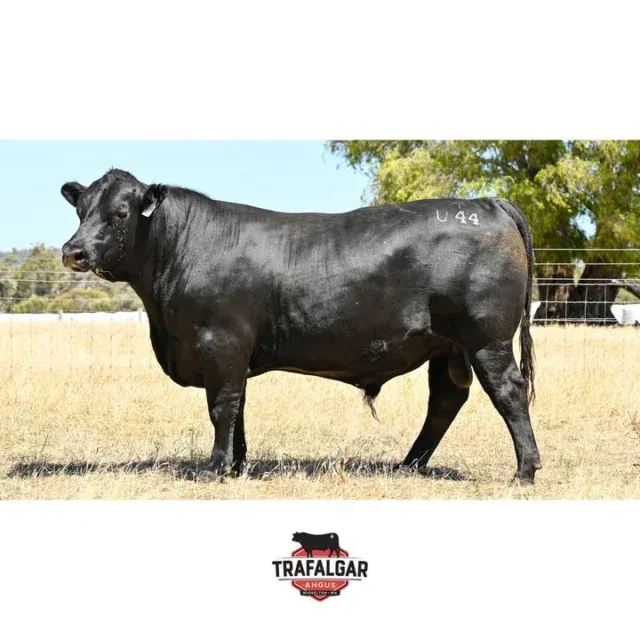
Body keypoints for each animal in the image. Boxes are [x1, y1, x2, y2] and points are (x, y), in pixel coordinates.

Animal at [60, 169, 542, 483]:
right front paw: (237, 466)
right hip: (448, 346)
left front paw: (215, 468)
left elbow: (221, 406)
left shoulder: (222, 342)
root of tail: (484, 203)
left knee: (508, 392)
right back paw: (409, 465)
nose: (73, 251)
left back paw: (525, 471)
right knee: (445, 401)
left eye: (121, 213)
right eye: (81, 210)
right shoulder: (234, 352)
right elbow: (238, 408)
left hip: (486, 337)